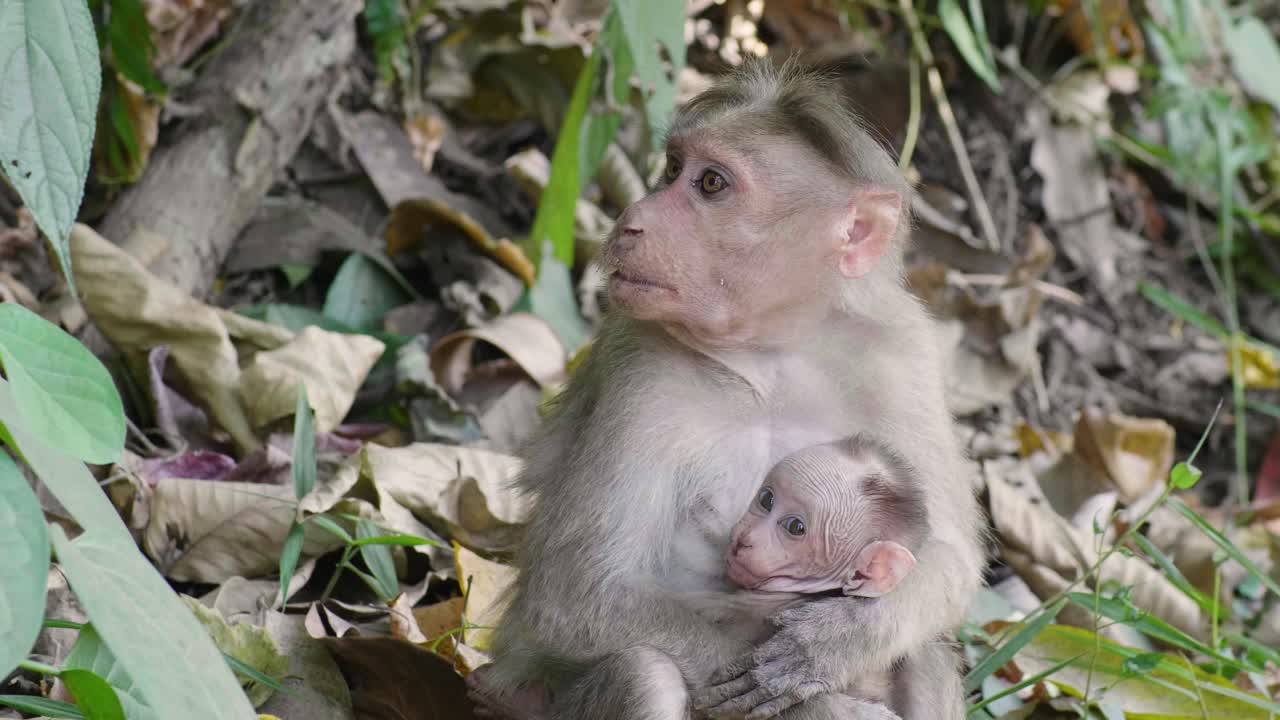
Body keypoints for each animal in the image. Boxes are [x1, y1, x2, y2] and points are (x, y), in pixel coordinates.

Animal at [468, 57, 984, 720]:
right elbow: (576, 594)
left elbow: (947, 556)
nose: (631, 220)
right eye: (672, 169)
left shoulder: (903, 354)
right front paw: (826, 701)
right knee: (644, 672)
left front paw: (830, 644)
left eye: (711, 184)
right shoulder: (644, 364)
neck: (771, 354)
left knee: (924, 646)